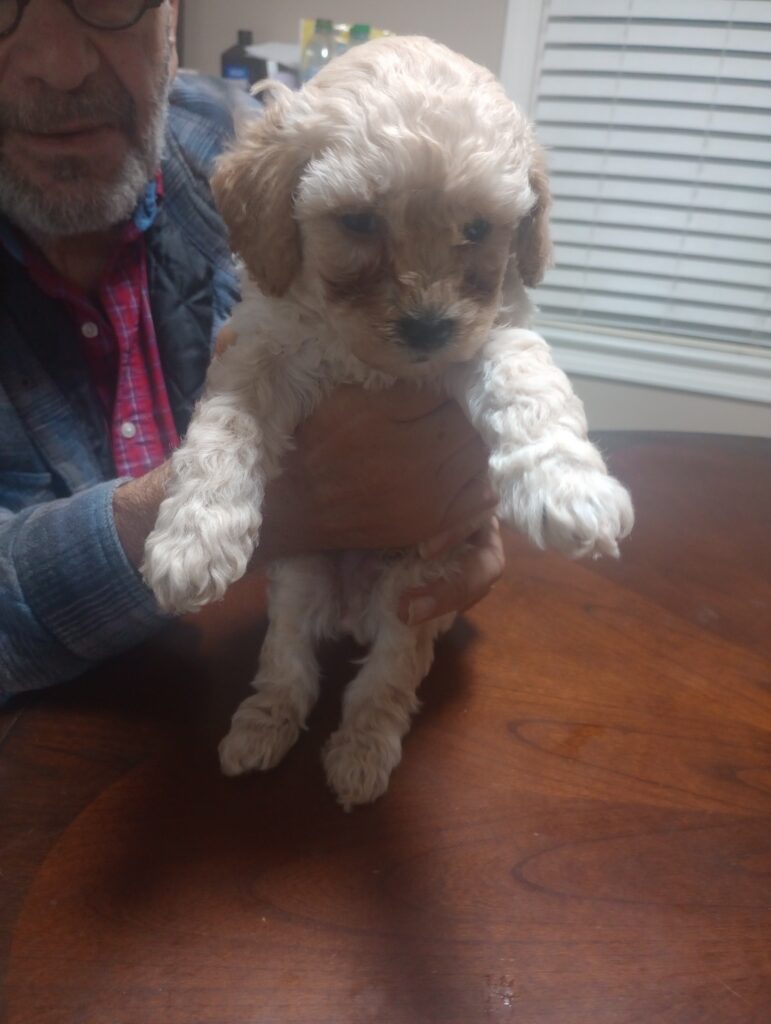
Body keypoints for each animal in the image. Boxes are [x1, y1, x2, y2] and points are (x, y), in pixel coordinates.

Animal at [142, 35, 634, 809]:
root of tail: (351, 612)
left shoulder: (485, 335)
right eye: (359, 221)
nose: (427, 328)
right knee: (288, 662)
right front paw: (193, 539)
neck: (372, 361)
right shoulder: (264, 349)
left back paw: (361, 752)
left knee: (383, 683)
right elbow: (225, 431)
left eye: (477, 230)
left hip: (417, 591)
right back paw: (261, 727)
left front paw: (569, 488)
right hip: (300, 577)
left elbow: (527, 382)